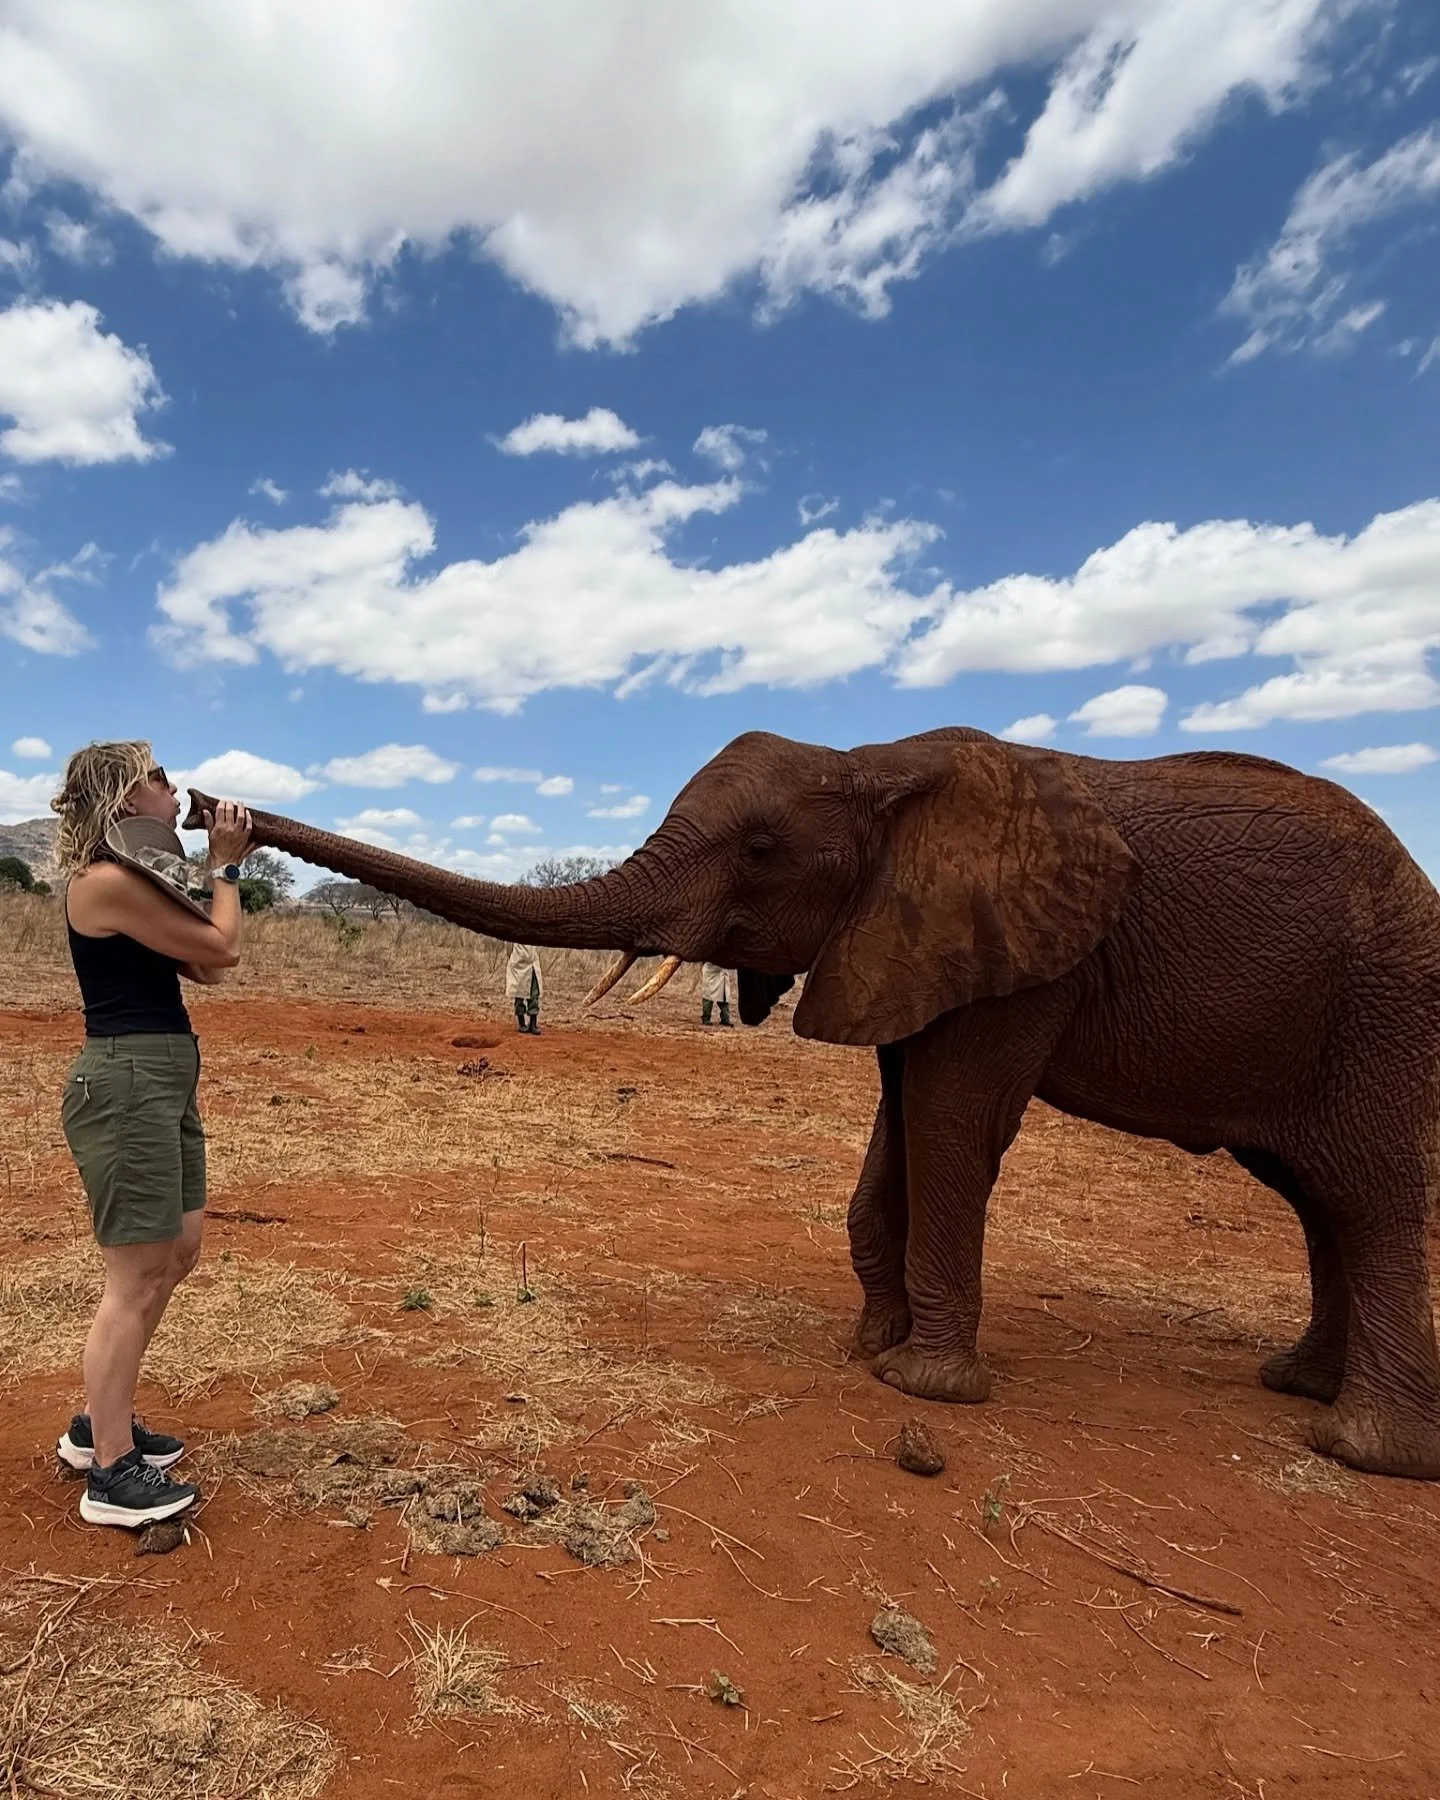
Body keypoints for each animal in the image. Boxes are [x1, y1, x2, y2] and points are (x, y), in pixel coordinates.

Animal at [185, 726, 1440, 1479]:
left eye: (759, 847)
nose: (203, 801)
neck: (879, 764)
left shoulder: (1024, 959)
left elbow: (952, 1124)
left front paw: (922, 1387)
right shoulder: (905, 942)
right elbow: (900, 1123)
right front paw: (869, 1345)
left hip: (1385, 1006)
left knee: (1370, 1196)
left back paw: (1361, 1448)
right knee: (1319, 1199)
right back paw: (1297, 1386)